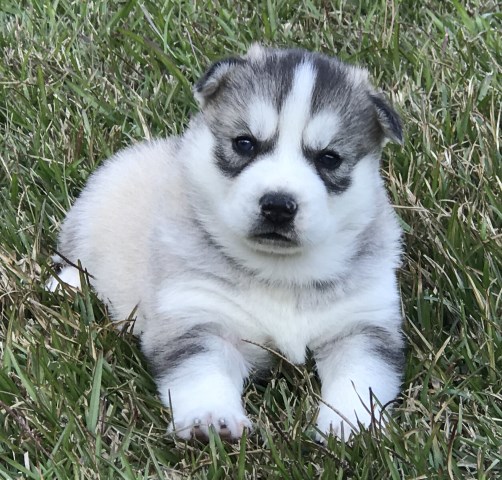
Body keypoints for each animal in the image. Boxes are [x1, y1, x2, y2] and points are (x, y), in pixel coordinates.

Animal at [48, 46, 404, 442]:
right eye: (244, 143)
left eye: (329, 158)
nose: (278, 205)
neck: (280, 270)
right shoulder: (196, 314)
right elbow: (203, 371)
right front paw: (210, 418)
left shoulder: (362, 323)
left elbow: (360, 377)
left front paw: (354, 426)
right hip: (91, 212)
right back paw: (68, 283)